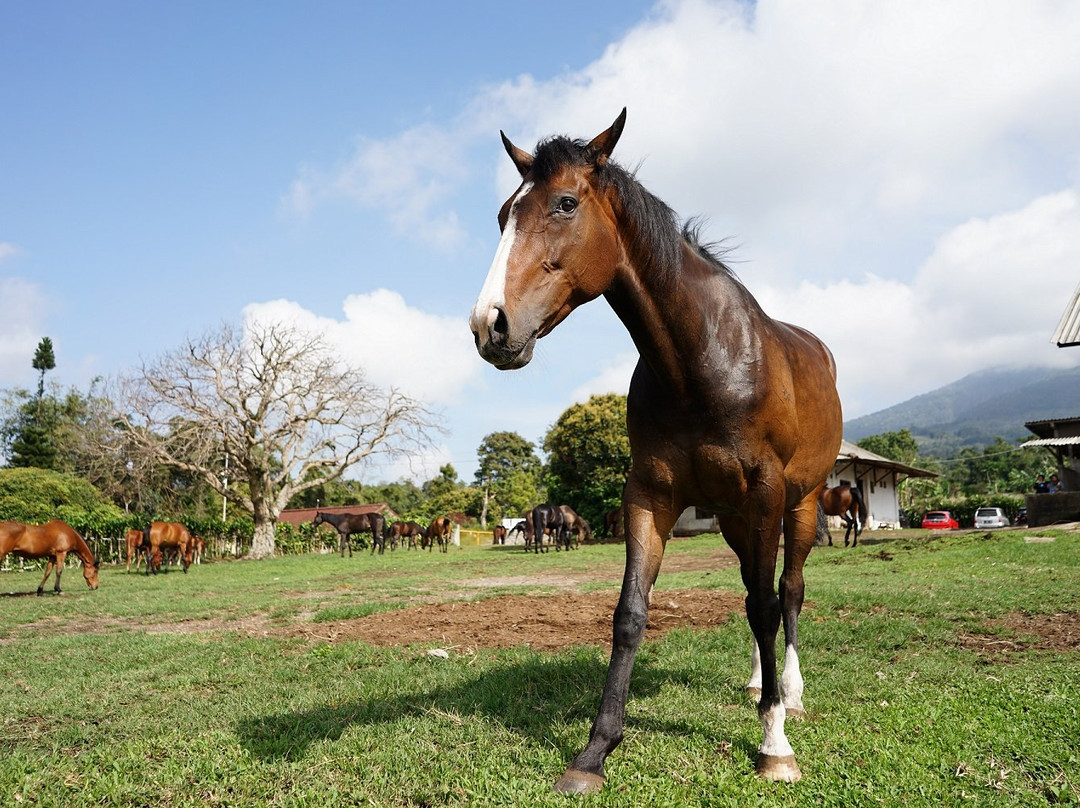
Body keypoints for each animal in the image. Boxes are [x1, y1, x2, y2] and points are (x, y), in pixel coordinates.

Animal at [468, 110, 846, 790]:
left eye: (565, 203)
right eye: (504, 213)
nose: (491, 325)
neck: (699, 361)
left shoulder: (766, 491)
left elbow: (769, 603)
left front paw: (774, 744)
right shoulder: (650, 495)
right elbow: (631, 614)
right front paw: (595, 751)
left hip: (799, 505)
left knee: (788, 591)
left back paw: (789, 694)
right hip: (734, 517)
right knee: (755, 592)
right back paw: (759, 683)